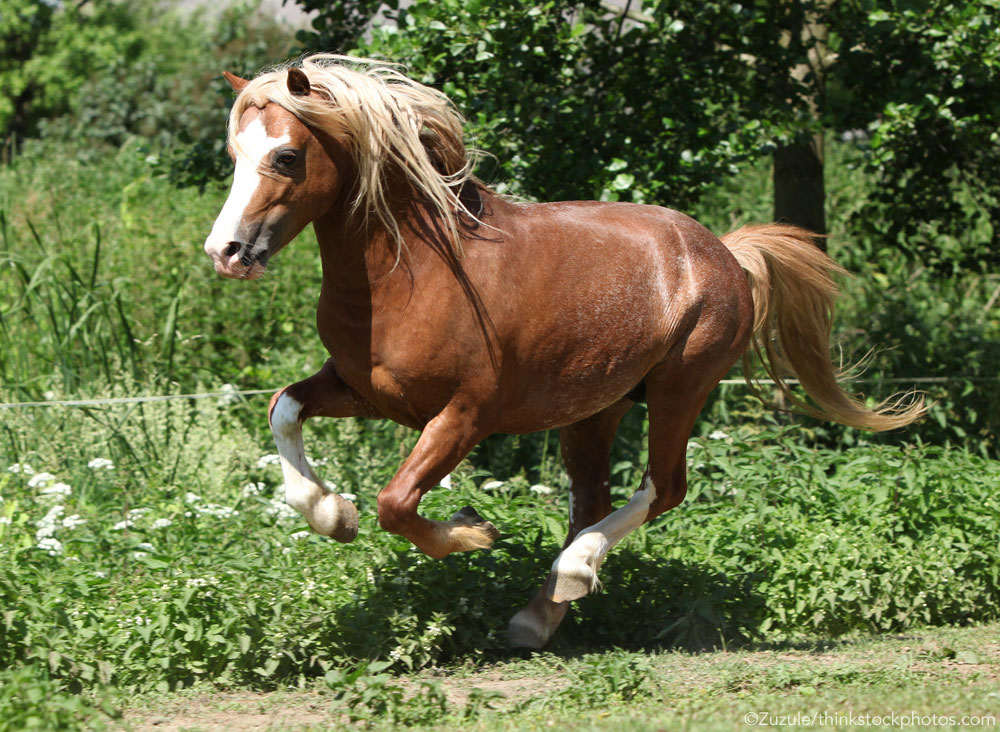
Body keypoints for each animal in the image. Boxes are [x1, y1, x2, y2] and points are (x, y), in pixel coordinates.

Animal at [201, 58, 920, 652]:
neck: (412, 270)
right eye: (235, 153)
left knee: (662, 487)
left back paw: (572, 572)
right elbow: (283, 410)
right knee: (592, 500)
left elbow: (397, 503)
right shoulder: (364, 390)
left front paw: (473, 531)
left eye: (287, 156)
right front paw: (333, 514)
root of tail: (725, 252)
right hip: (596, 411)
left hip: (680, 389)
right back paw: (537, 615)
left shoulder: (464, 416)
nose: (225, 252)